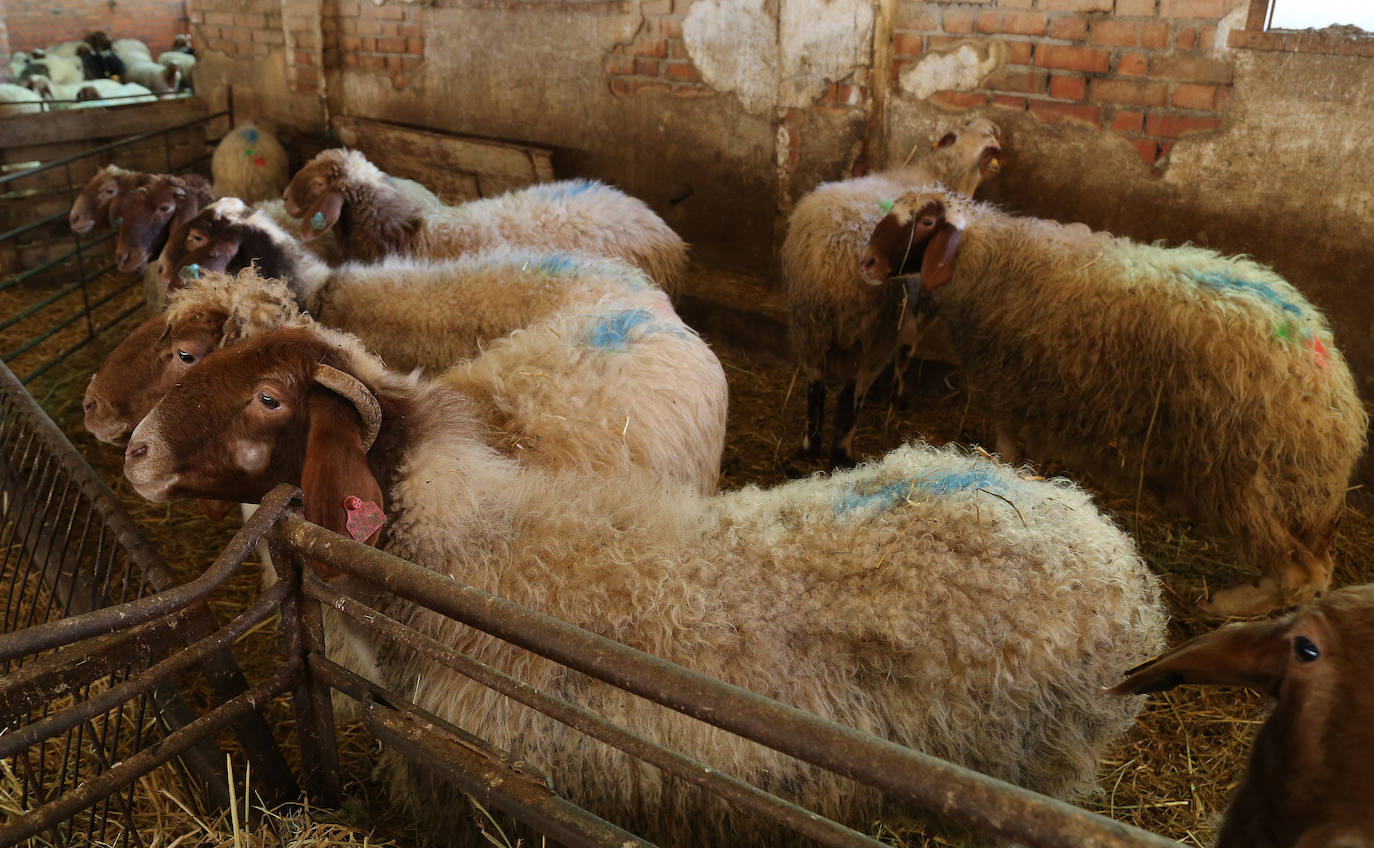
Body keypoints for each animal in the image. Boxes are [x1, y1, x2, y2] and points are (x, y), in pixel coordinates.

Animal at [780, 114, 1005, 467]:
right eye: (989, 135)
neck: (944, 171)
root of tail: (830, 257)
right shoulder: (921, 305)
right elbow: (907, 352)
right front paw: (895, 404)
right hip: (872, 335)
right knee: (849, 399)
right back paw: (844, 455)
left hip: (809, 326)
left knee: (814, 388)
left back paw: (809, 449)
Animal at [857, 188, 1363, 618]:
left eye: (925, 222)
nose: (867, 263)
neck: (992, 255)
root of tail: (1332, 393)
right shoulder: (1042, 390)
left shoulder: (1010, 383)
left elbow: (1005, 442)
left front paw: (1007, 471)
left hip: (1245, 477)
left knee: (1303, 573)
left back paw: (1232, 604)